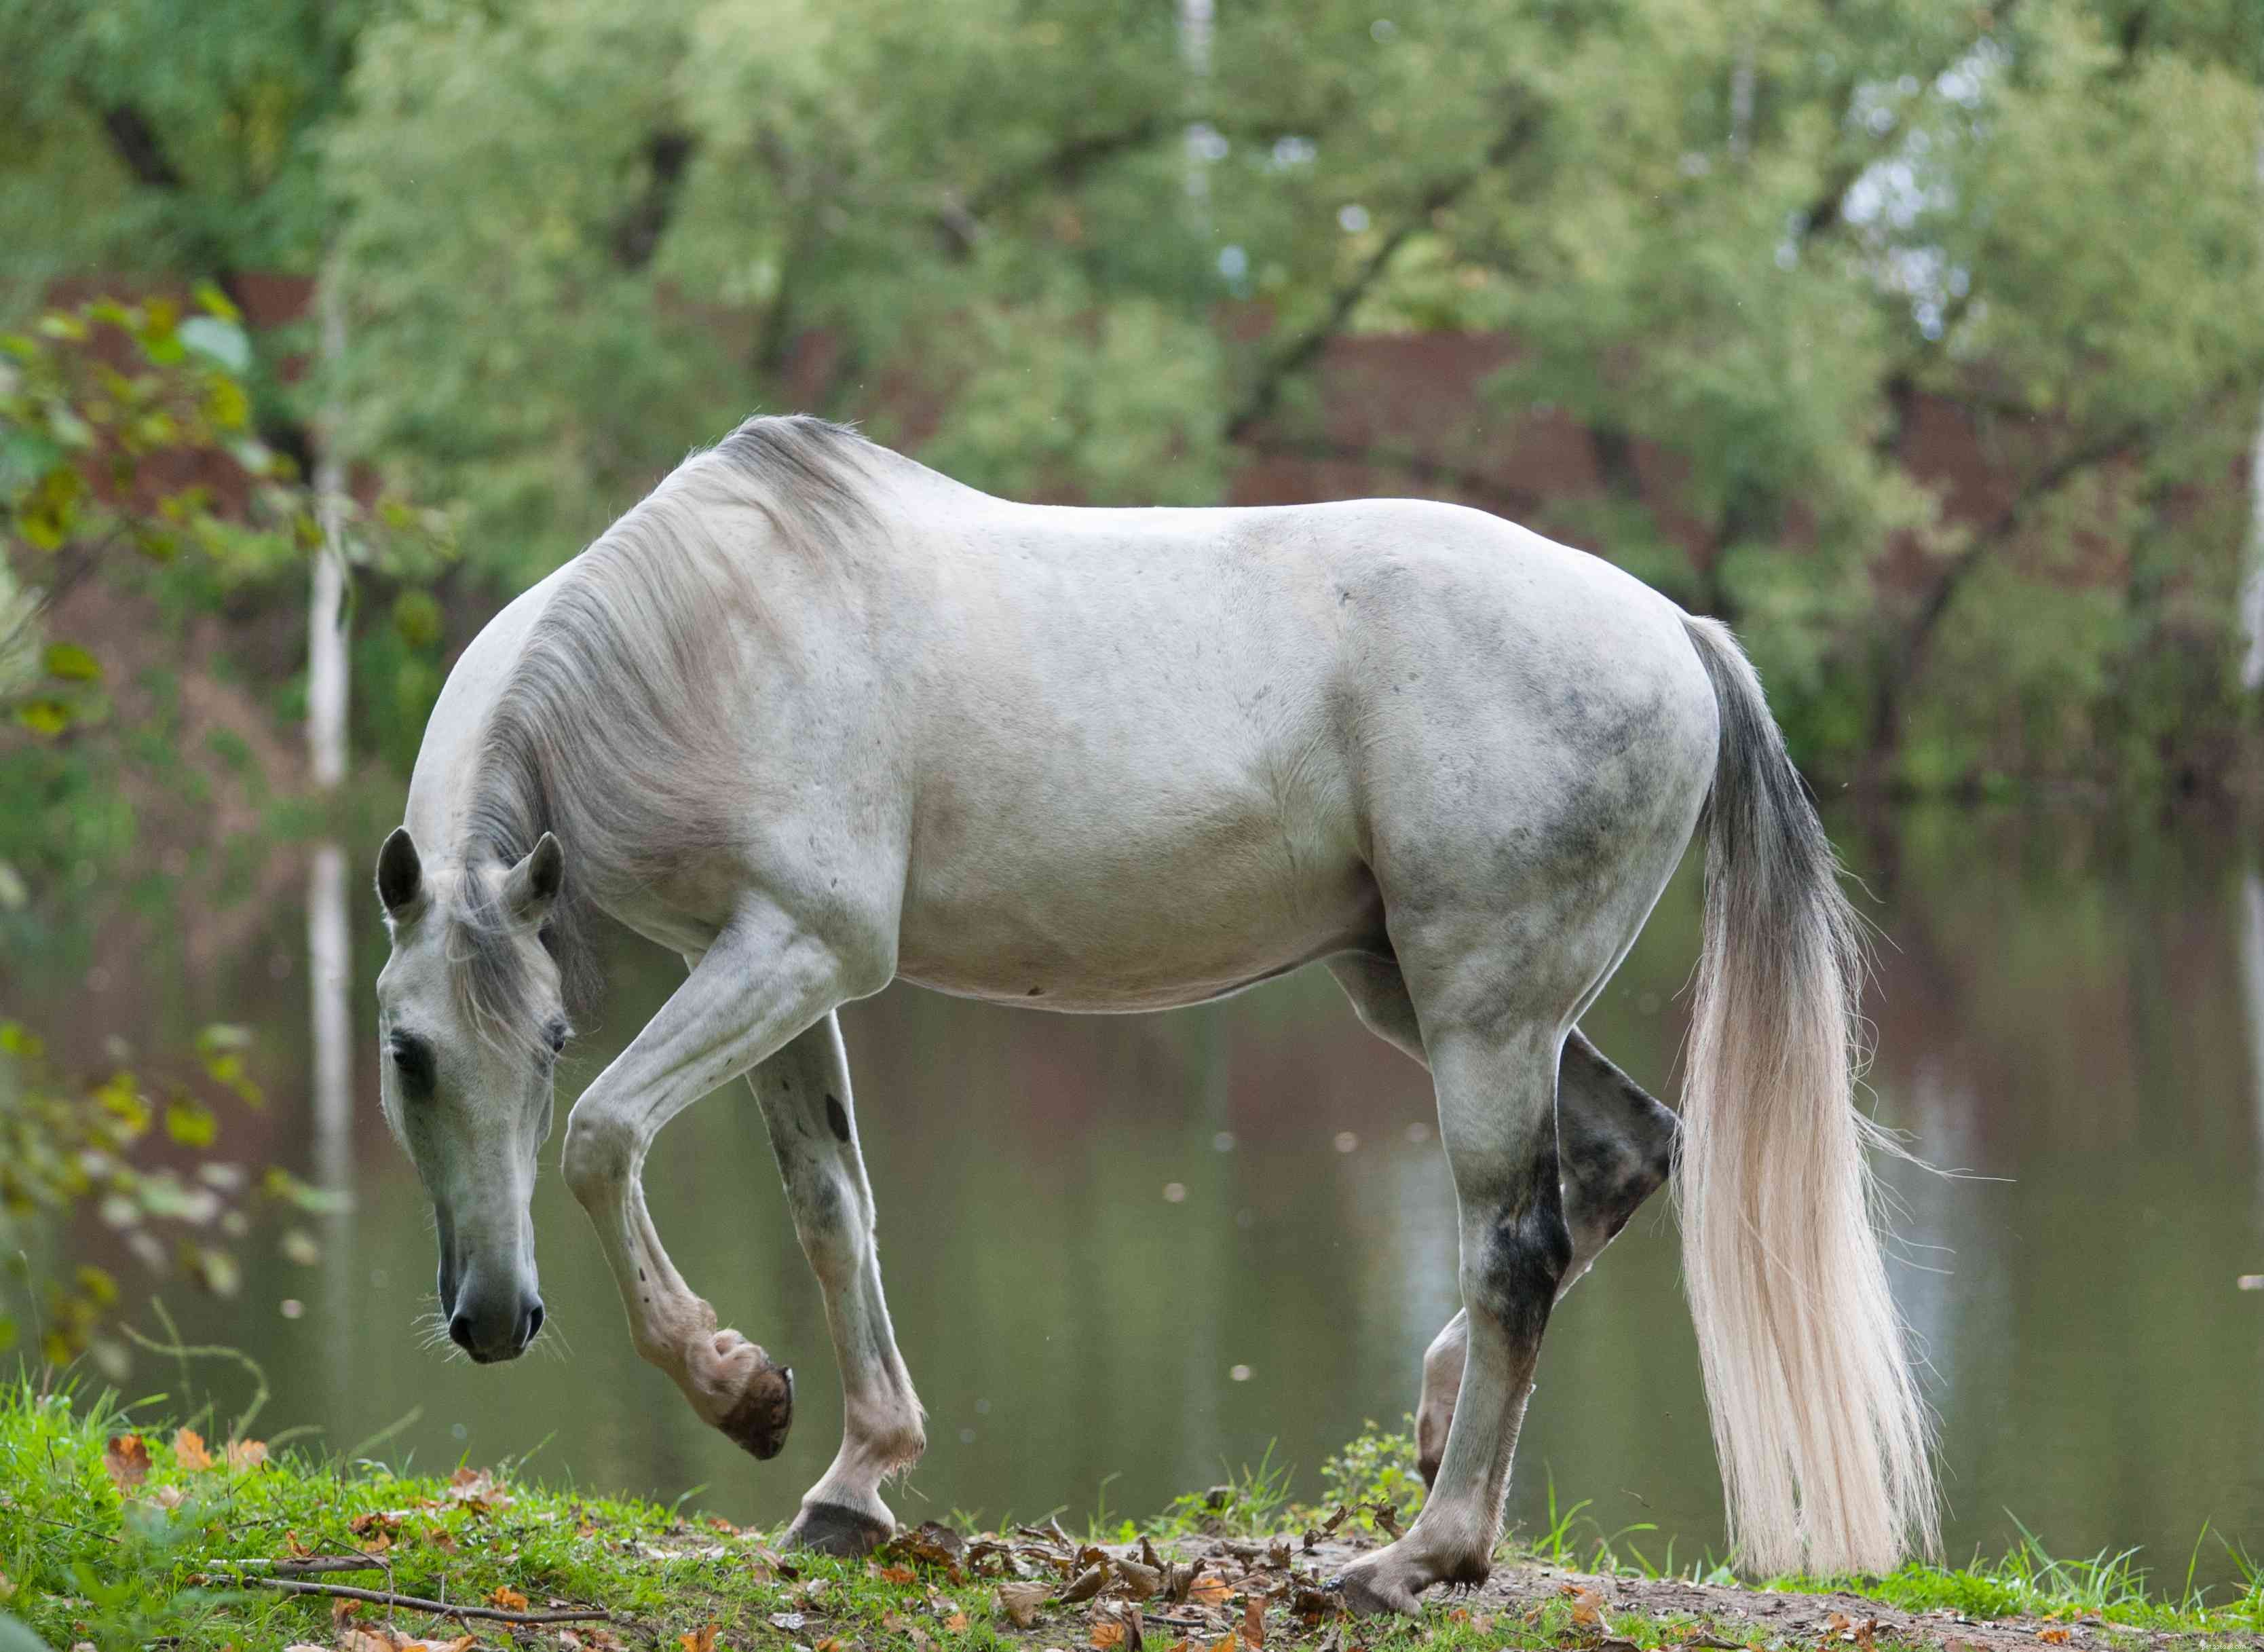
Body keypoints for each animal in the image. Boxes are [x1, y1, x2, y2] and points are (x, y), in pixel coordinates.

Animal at [370, 415, 1934, 1613]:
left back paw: (1421, 1556)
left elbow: (601, 1137)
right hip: (1429, 996)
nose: (492, 1315)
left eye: (546, 1040)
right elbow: (831, 1209)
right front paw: (853, 1479)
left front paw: (737, 1386)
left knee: (1520, 1246)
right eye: (409, 1054)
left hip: (1481, 1015)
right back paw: (1434, 1433)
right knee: (1627, 1153)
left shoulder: (795, 951)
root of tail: (1672, 628)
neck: (705, 634)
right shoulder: (766, 964)